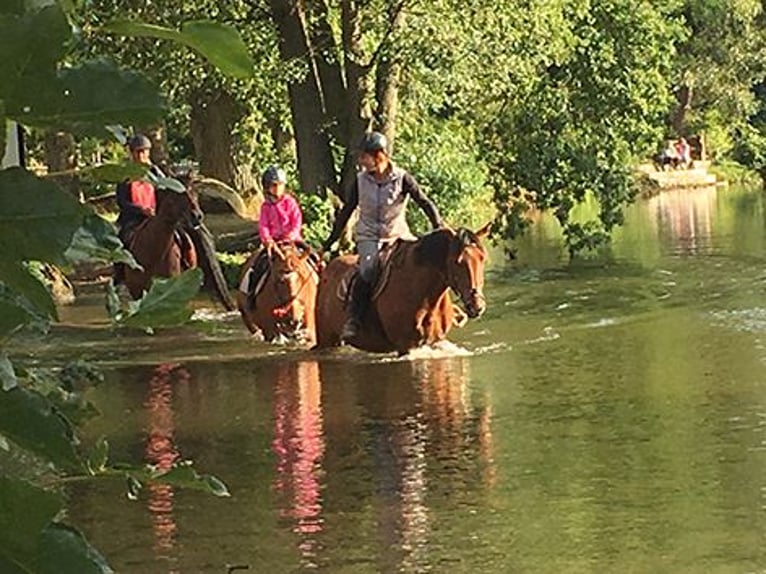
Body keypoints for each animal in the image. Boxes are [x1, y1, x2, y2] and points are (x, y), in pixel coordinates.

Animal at [314, 225, 488, 356]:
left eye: (482, 258)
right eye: (457, 262)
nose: (477, 306)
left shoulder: (435, 341)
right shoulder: (405, 346)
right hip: (327, 339)